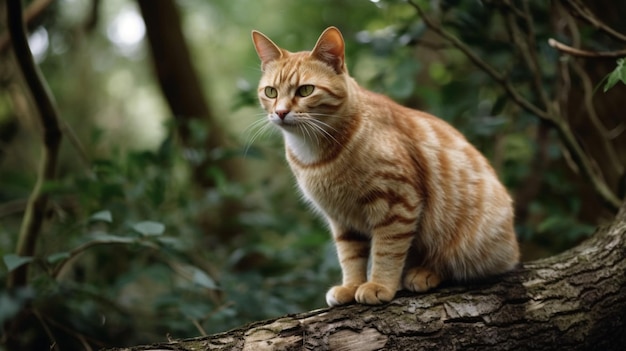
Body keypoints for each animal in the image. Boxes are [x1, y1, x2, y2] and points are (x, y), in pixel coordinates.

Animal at [249, 26, 516, 306]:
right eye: (271, 92)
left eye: (305, 90)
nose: (280, 112)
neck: (315, 153)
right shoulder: (342, 219)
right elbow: (350, 257)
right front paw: (351, 286)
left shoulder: (397, 202)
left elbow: (386, 251)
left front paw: (379, 285)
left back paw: (424, 273)